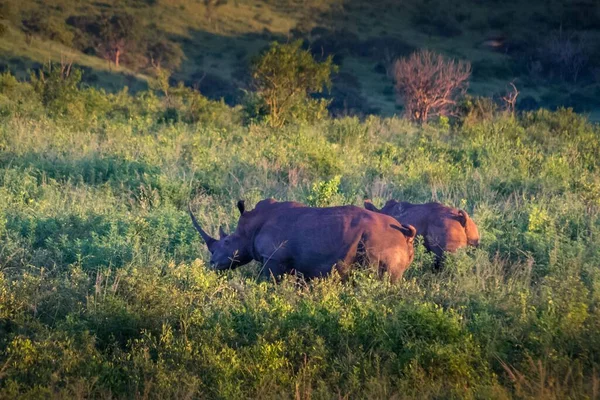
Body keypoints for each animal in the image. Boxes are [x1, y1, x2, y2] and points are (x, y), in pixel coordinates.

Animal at [190, 199, 414, 282]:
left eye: (227, 242)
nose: (212, 264)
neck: (250, 228)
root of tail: (405, 235)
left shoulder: (273, 258)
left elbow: (268, 282)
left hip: (380, 241)